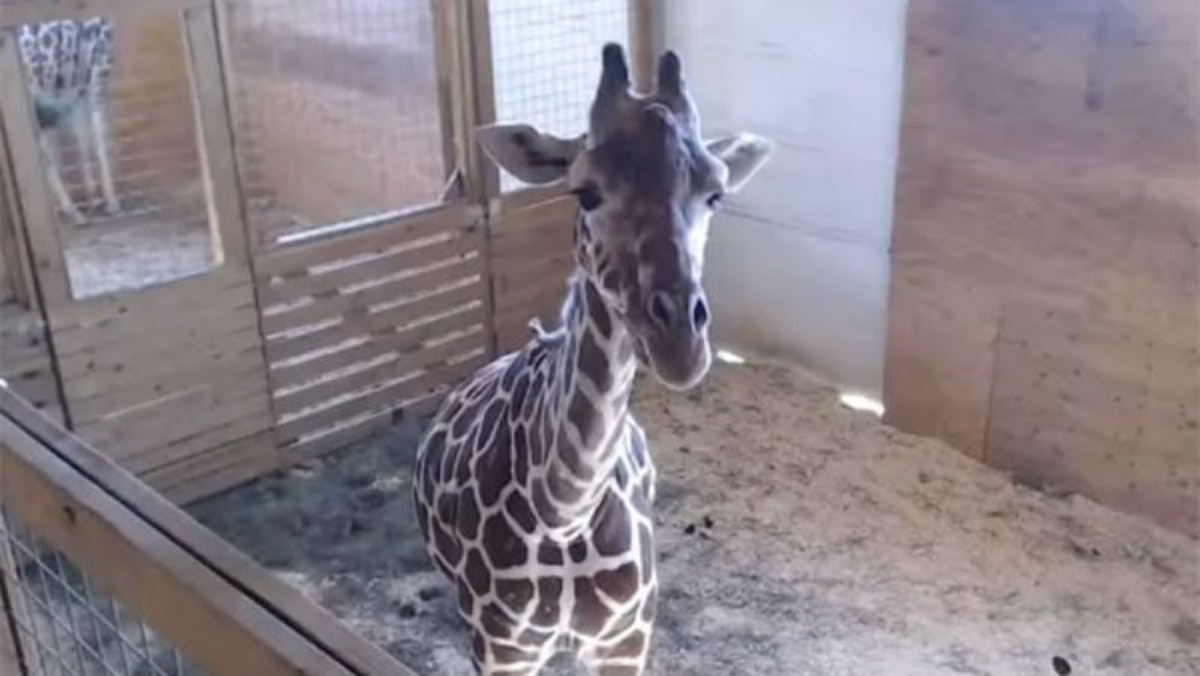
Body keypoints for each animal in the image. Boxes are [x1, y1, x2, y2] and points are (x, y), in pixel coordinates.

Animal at [17, 18, 121, 225]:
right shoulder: (99, 70)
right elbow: (98, 138)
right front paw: (110, 201)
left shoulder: (74, 87)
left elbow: (82, 139)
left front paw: (92, 197)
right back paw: (74, 212)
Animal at [414, 44, 771, 675]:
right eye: (585, 191)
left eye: (716, 193)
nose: (681, 343)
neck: (565, 510)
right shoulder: (500, 650)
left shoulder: (627, 641)